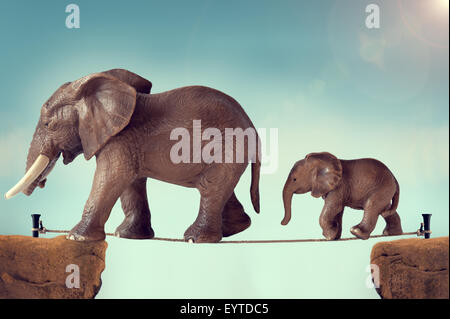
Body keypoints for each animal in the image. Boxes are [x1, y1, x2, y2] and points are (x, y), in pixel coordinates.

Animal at [4, 69, 260, 242]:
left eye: (49, 124)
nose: (42, 183)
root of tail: (253, 127)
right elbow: (131, 183)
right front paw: (126, 235)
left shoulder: (118, 140)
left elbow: (112, 178)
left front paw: (76, 237)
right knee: (219, 187)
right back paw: (234, 230)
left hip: (230, 146)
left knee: (210, 187)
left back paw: (194, 238)